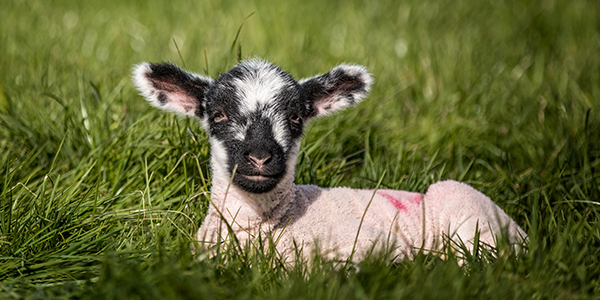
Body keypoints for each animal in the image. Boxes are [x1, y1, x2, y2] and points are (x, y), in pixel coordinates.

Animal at [134, 59, 528, 262]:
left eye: (296, 118)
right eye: (217, 115)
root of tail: (522, 233)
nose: (260, 157)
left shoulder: (371, 243)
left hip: (472, 220)